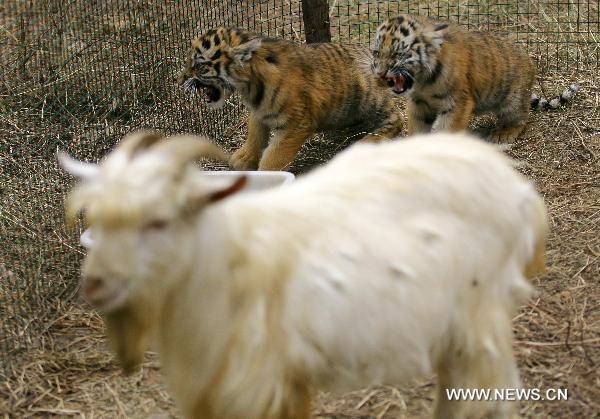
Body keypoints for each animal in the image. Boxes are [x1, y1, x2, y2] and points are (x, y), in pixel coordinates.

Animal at [59, 132, 548, 419]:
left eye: (159, 221)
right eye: (95, 219)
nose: (94, 284)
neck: (224, 261)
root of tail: (515, 183)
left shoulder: (258, 382)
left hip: (480, 315)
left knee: (491, 397)